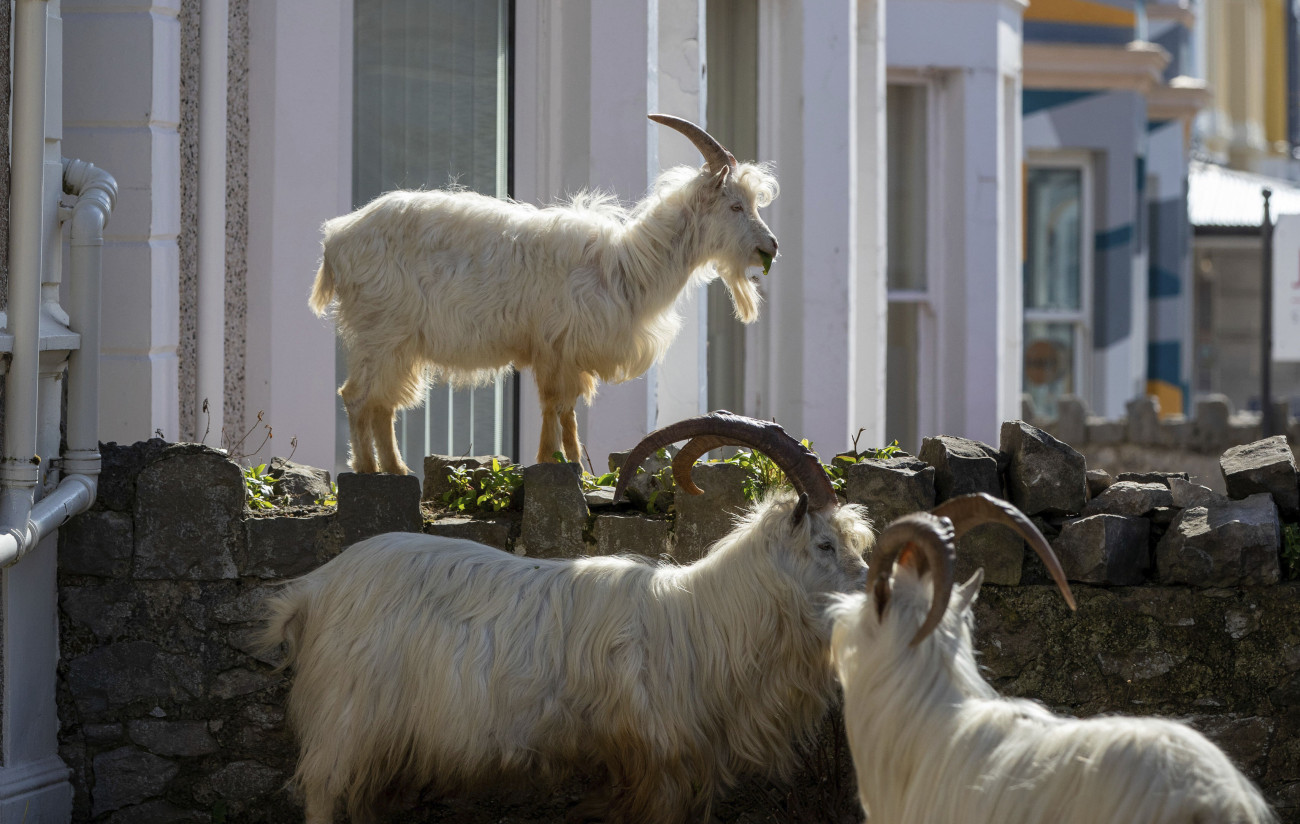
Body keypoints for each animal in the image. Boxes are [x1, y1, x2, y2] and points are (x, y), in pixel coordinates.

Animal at [262, 410, 868, 821]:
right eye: (824, 544)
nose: (870, 596)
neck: (704, 619)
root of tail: (317, 587)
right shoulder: (657, 767)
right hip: (345, 724)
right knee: (321, 795)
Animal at [309, 116, 774, 475]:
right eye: (735, 206)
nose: (770, 248)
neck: (627, 265)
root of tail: (337, 239)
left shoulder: (567, 354)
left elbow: (567, 412)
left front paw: (573, 465)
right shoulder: (556, 347)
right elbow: (555, 406)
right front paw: (551, 461)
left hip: (397, 343)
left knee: (382, 403)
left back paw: (395, 468)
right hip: (381, 332)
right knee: (357, 397)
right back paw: (368, 469)